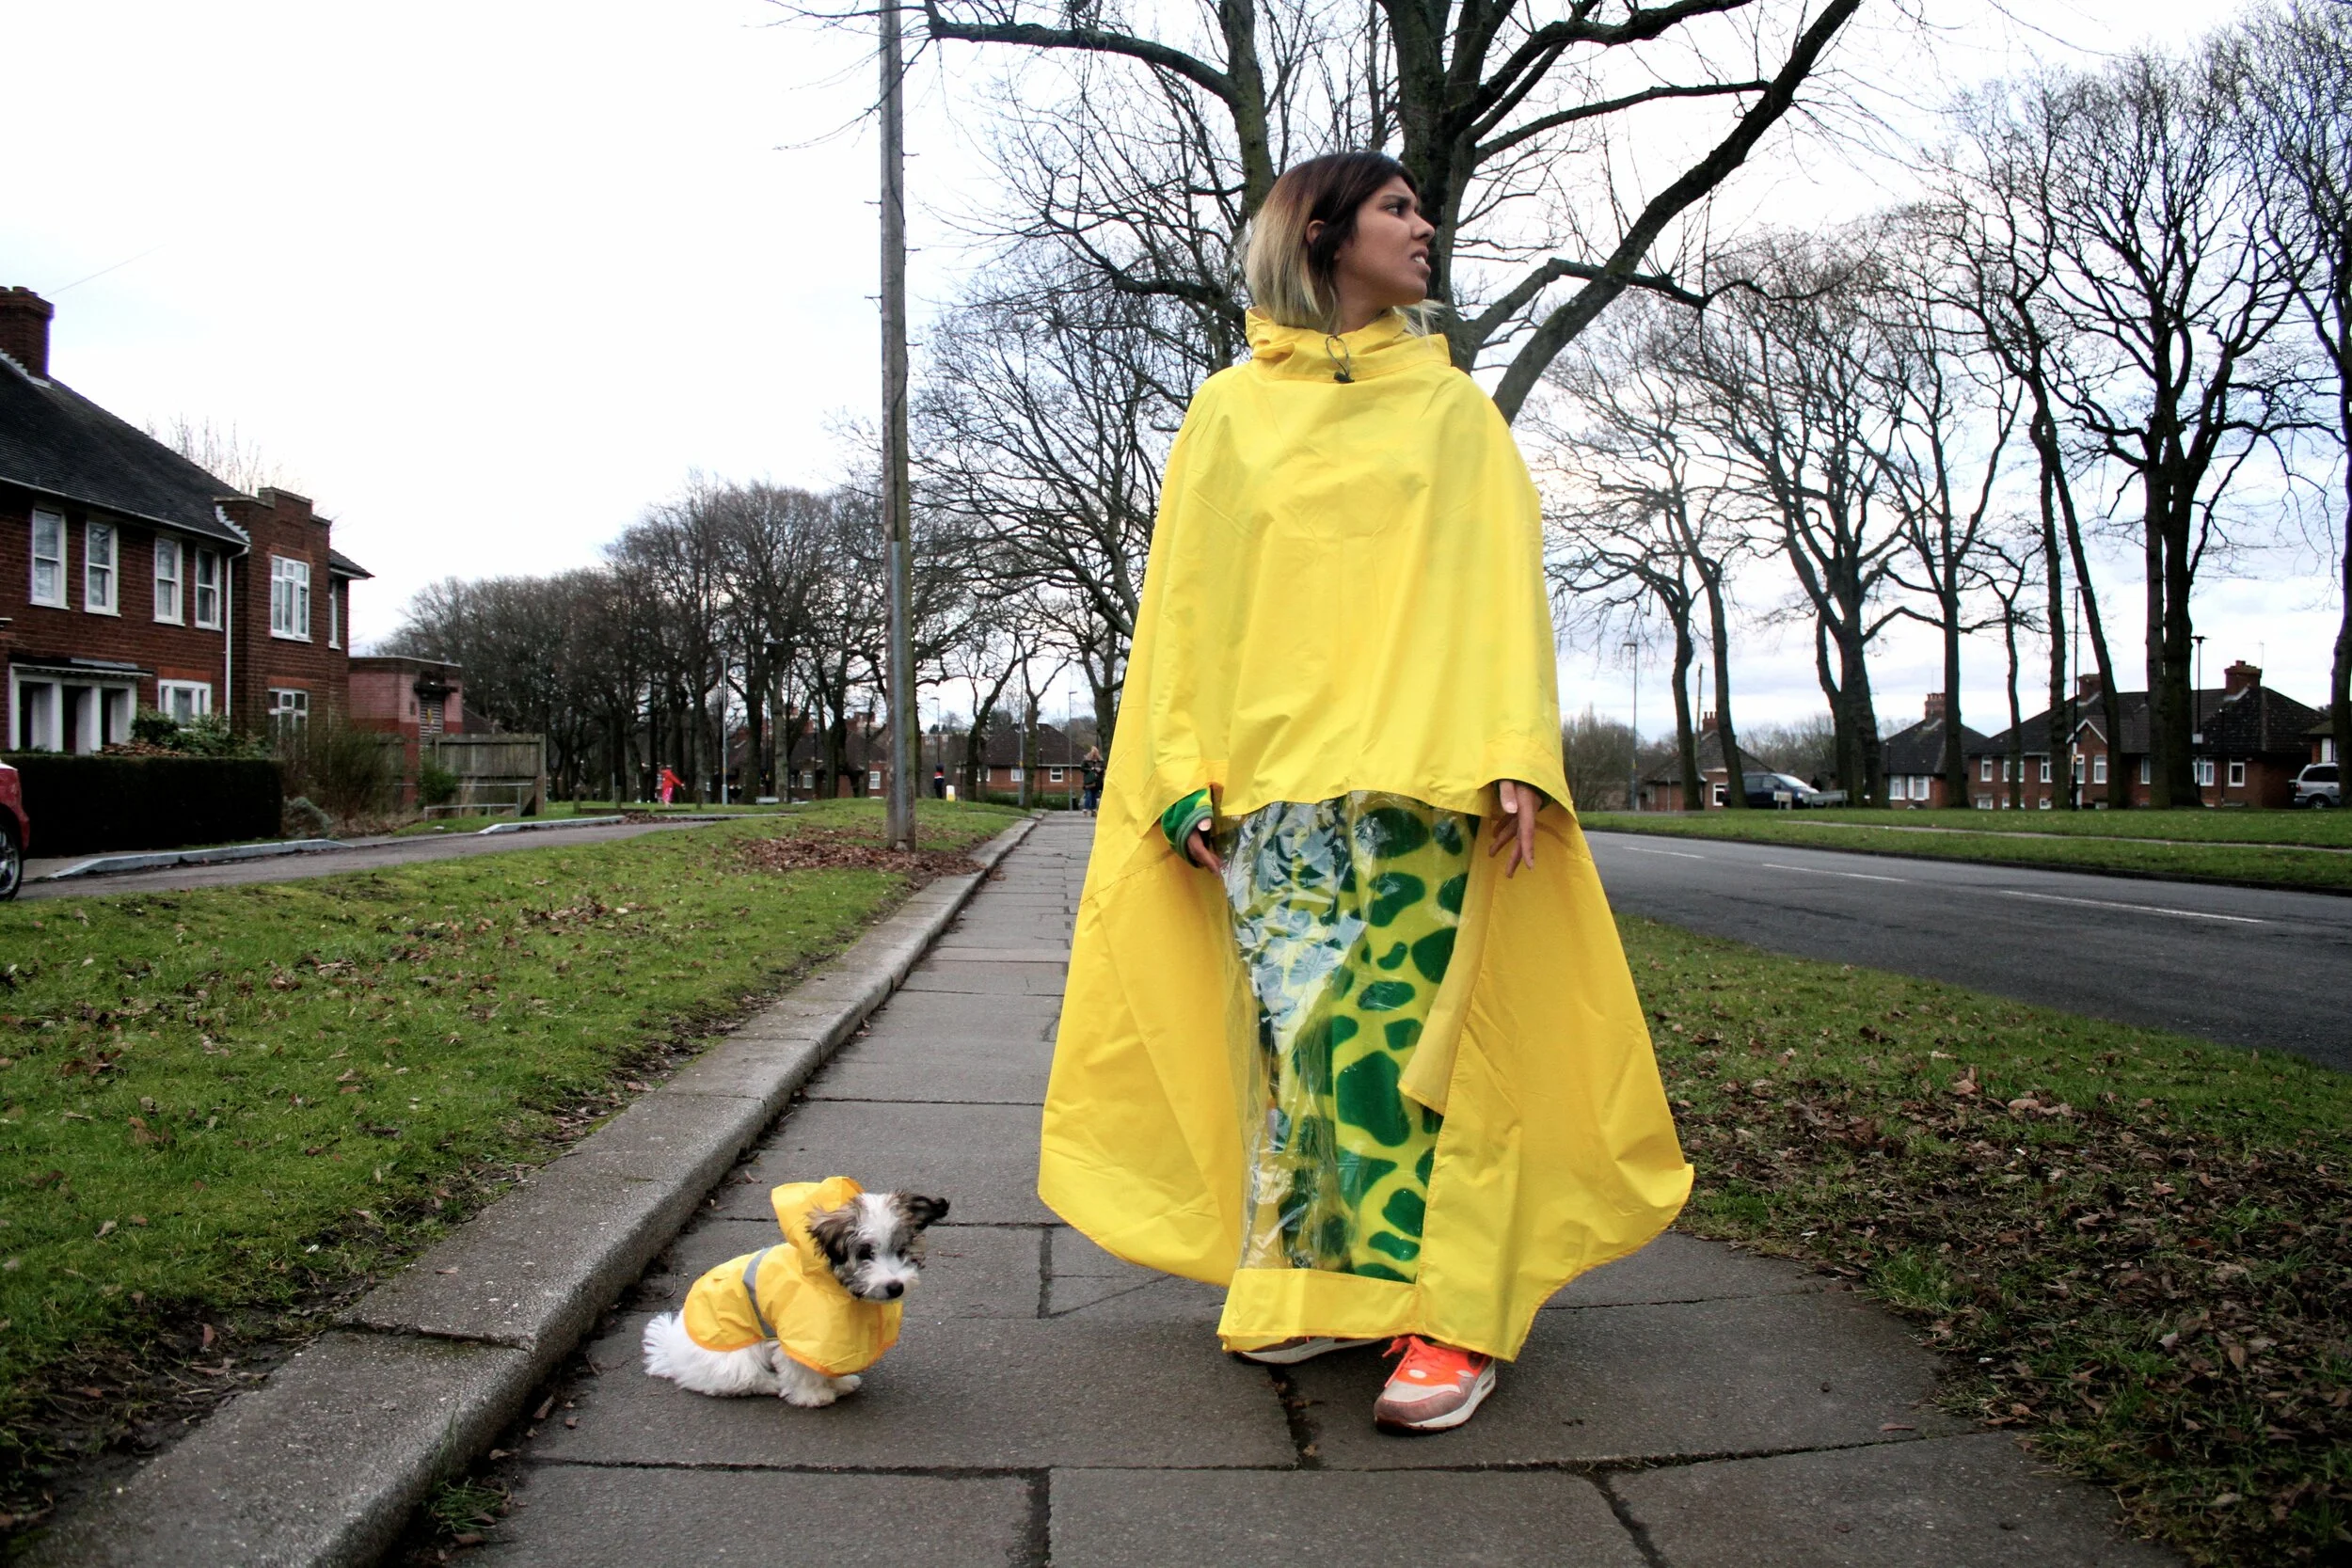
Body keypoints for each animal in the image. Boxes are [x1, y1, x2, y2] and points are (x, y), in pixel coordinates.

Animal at [644, 1175, 946, 1410]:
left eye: (901, 1250)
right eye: (865, 1254)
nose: (895, 1286)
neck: (827, 1280)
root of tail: (672, 1349)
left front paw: (839, 1382)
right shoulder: (803, 1333)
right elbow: (800, 1366)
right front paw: (813, 1395)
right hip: (733, 1356)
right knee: (739, 1379)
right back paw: (771, 1383)